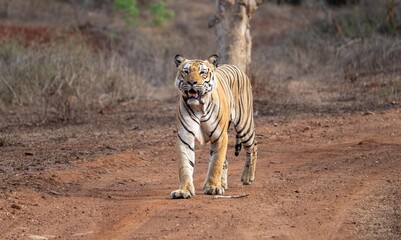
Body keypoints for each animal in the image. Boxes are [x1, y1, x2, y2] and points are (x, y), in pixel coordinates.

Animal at [169, 54, 256, 199]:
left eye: (202, 72)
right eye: (186, 71)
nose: (191, 82)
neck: (199, 106)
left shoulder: (220, 136)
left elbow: (216, 162)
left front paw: (213, 188)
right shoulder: (184, 137)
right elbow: (185, 165)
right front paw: (183, 190)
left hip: (244, 125)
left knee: (253, 148)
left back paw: (248, 177)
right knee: (226, 161)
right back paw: (223, 183)